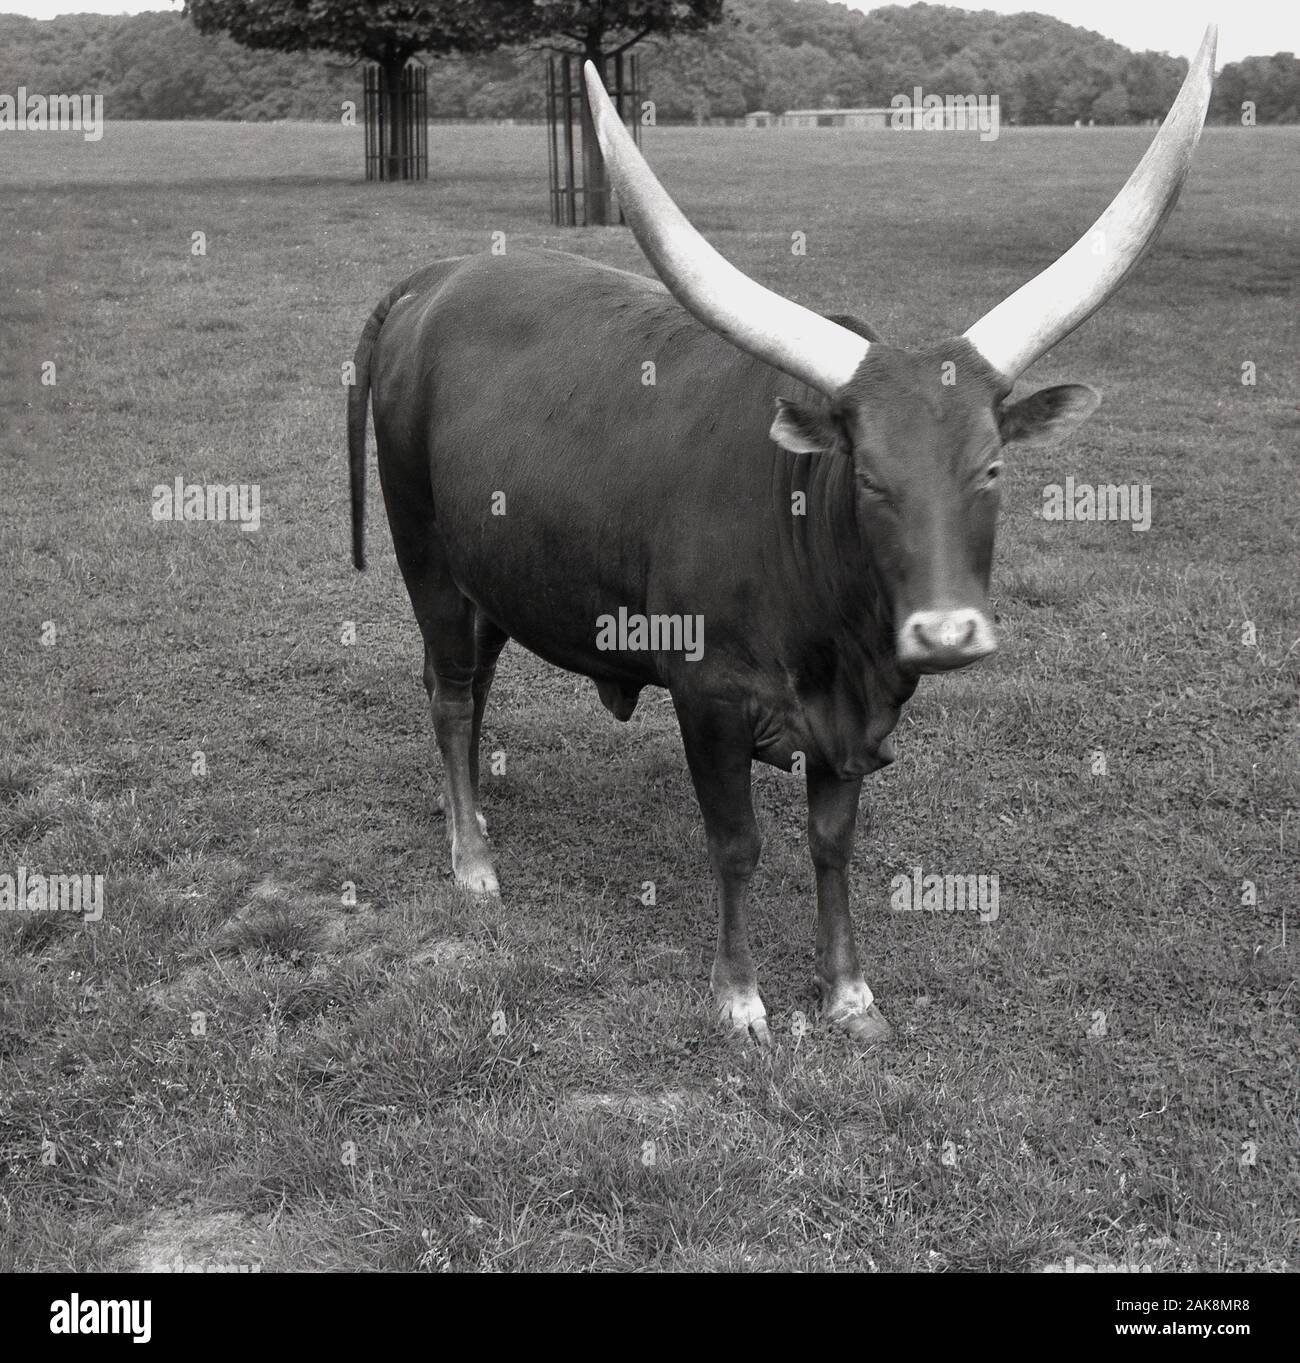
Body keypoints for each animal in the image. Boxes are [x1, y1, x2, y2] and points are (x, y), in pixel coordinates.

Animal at [347, 29, 1215, 1041]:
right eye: (868, 474)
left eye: (993, 468)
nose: (945, 632)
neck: (838, 640)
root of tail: (435, 278)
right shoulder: (708, 699)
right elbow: (738, 845)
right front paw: (738, 995)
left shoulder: (859, 722)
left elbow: (830, 845)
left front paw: (849, 992)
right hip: (426, 563)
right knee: (450, 698)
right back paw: (473, 861)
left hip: (489, 577)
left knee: (468, 688)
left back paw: (477, 821)